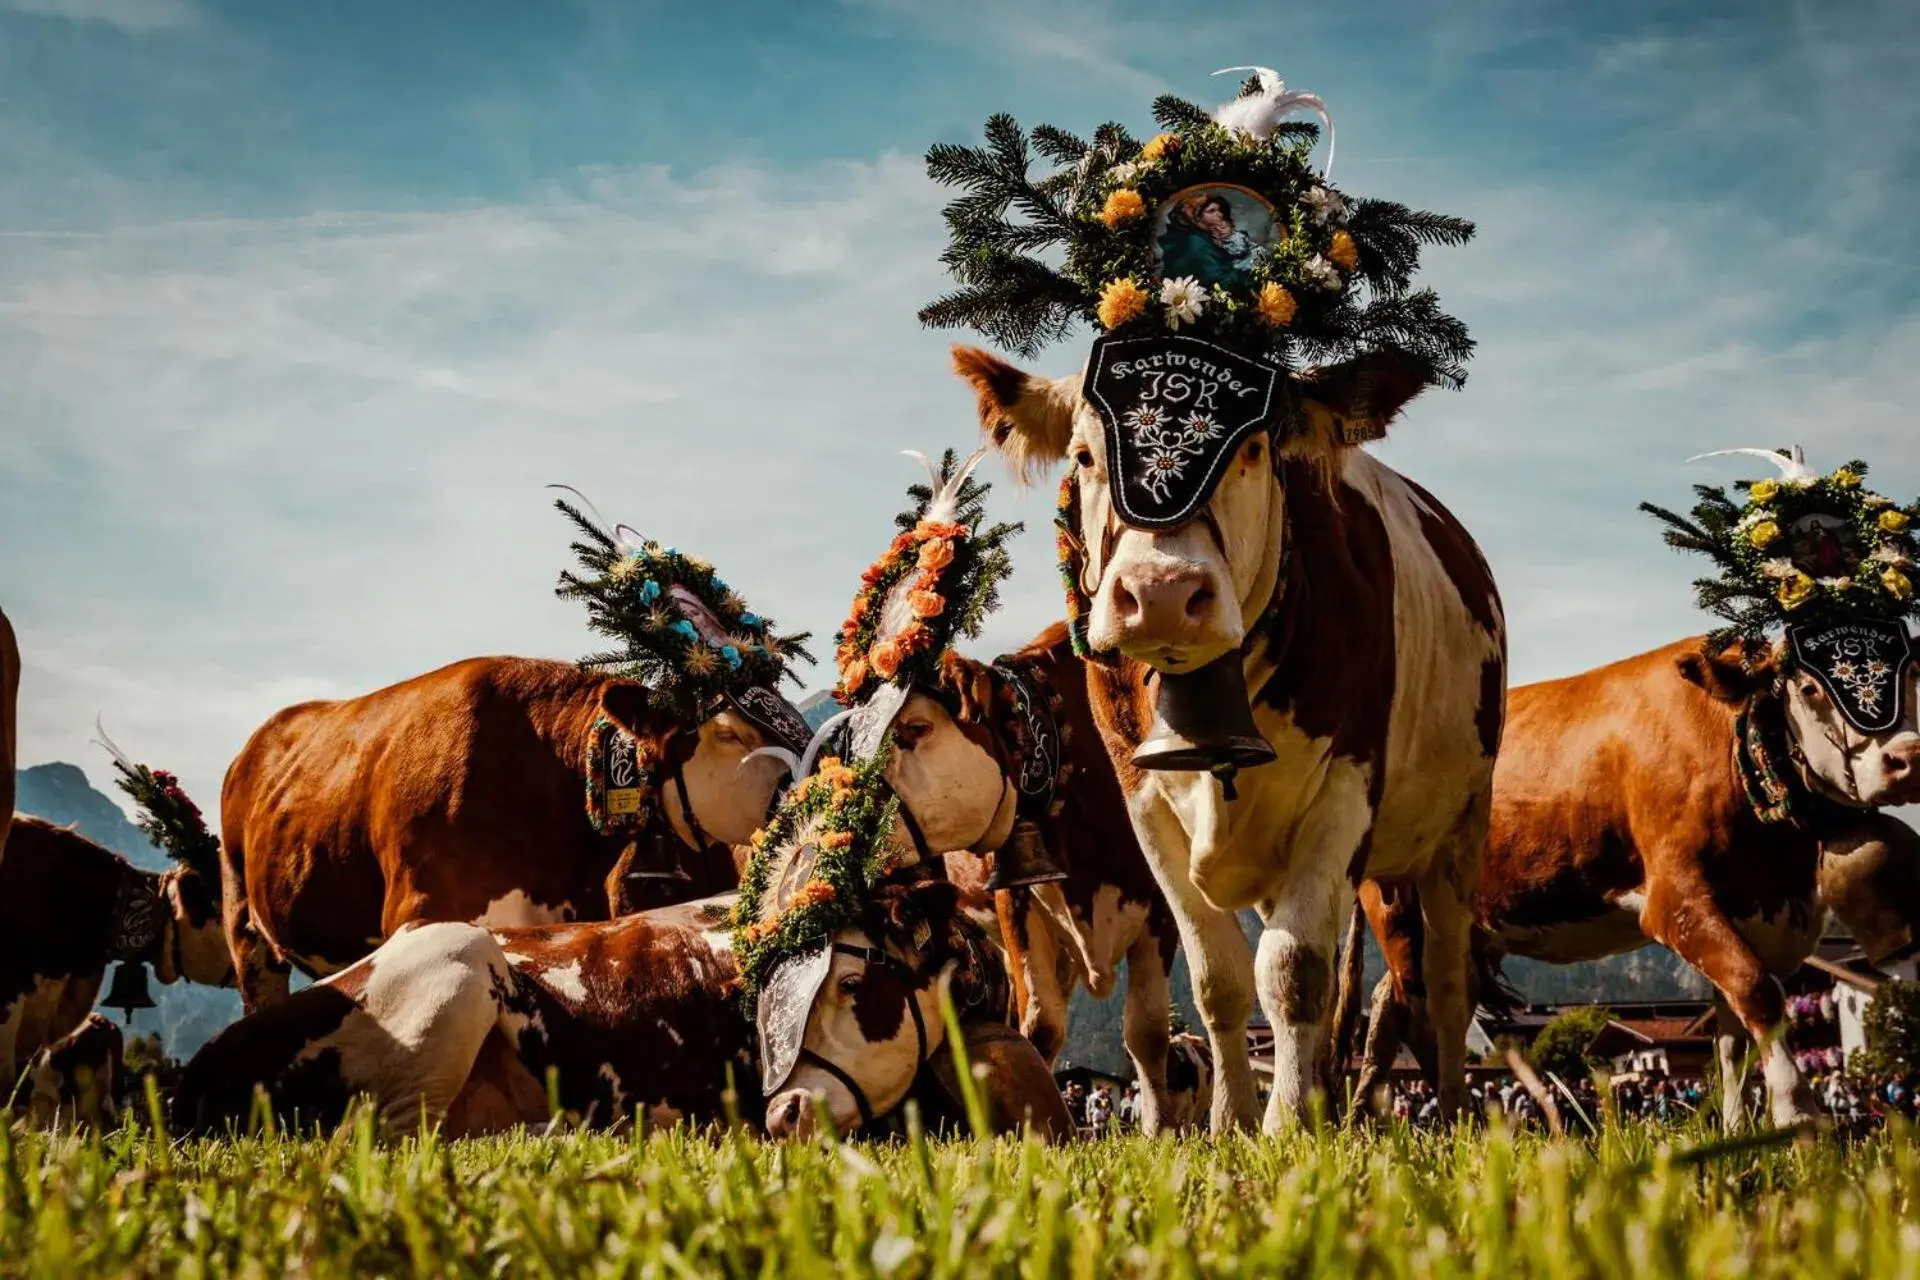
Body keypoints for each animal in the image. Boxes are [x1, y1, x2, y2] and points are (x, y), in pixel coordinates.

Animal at [952, 343, 1505, 1128]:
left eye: (1251, 448)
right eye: (1084, 455)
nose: (1161, 594)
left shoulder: (1346, 789)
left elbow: (1296, 971)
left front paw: (1287, 1122)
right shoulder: (1147, 814)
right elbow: (1219, 980)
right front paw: (1234, 1121)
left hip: (1459, 826)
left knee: (1447, 979)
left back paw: (1453, 1107)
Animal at [1344, 637, 1920, 1128]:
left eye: (1915, 672)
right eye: (1809, 688)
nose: (1908, 760)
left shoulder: (1757, 912)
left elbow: (1731, 1036)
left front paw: (1740, 1129)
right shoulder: (1676, 898)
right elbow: (1757, 992)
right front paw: (1798, 1116)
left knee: (1403, 1006)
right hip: (1399, 909)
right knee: (1418, 1011)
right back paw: (1453, 1120)